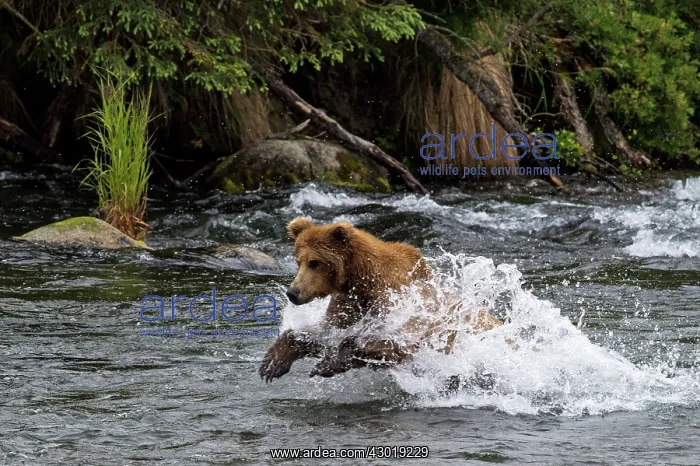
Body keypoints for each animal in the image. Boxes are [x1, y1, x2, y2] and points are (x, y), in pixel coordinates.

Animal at [258, 217, 503, 383]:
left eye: (315, 263)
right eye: (298, 261)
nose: (293, 292)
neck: (361, 279)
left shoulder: (400, 300)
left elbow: (395, 342)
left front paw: (328, 363)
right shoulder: (350, 302)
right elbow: (325, 331)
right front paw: (272, 363)